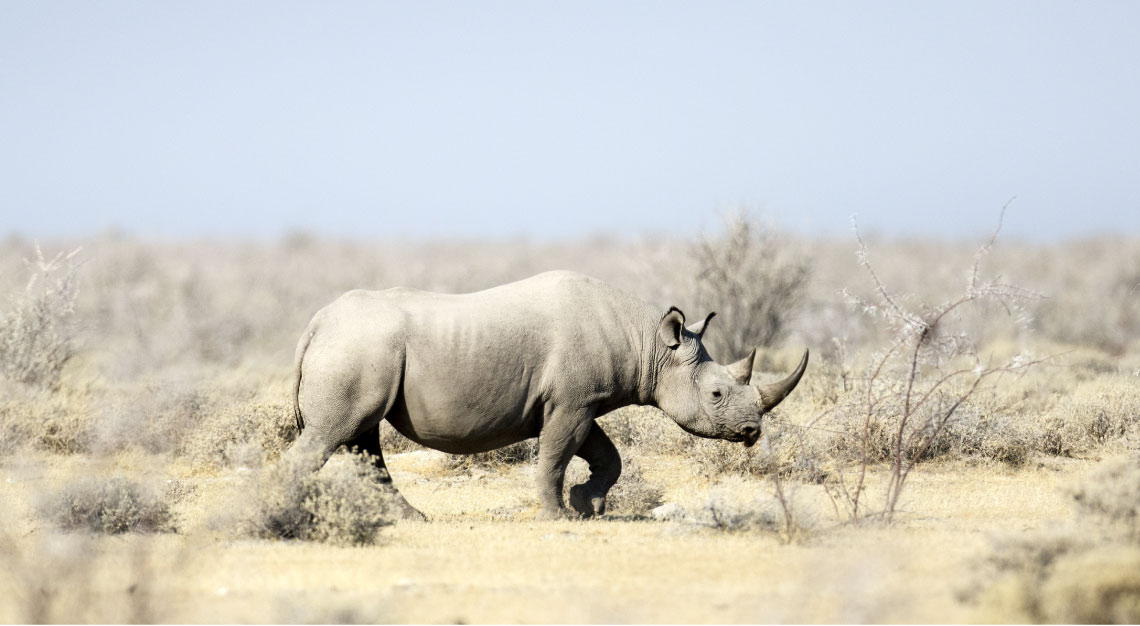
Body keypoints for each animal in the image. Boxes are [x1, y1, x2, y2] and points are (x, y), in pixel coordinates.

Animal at [281, 271, 807, 519]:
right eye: (716, 393)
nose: (751, 431)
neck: (650, 344)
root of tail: (316, 323)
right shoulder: (572, 401)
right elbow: (556, 455)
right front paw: (560, 515)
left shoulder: (579, 401)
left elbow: (606, 455)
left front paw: (587, 505)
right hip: (359, 347)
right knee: (335, 432)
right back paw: (282, 511)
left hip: (364, 349)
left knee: (362, 439)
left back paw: (413, 519)